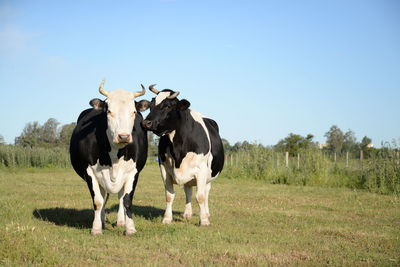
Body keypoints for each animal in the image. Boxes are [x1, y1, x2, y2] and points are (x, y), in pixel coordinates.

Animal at [69, 80, 149, 237]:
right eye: (109, 111)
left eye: (133, 112)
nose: (123, 136)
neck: (115, 154)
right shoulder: (90, 172)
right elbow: (98, 201)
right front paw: (96, 228)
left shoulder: (133, 172)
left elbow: (127, 200)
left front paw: (130, 228)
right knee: (103, 195)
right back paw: (102, 220)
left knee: (120, 196)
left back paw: (120, 221)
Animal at [141, 85, 223, 227]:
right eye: (151, 105)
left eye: (168, 106)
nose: (146, 123)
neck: (178, 148)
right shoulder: (164, 169)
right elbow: (169, 196)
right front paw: (167, 218)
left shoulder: (201, 170)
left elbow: (200, 196)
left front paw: (204, 221)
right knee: (188, 190)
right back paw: (187, 214)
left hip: (209, 175)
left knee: (206, 192)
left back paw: (206, 214)